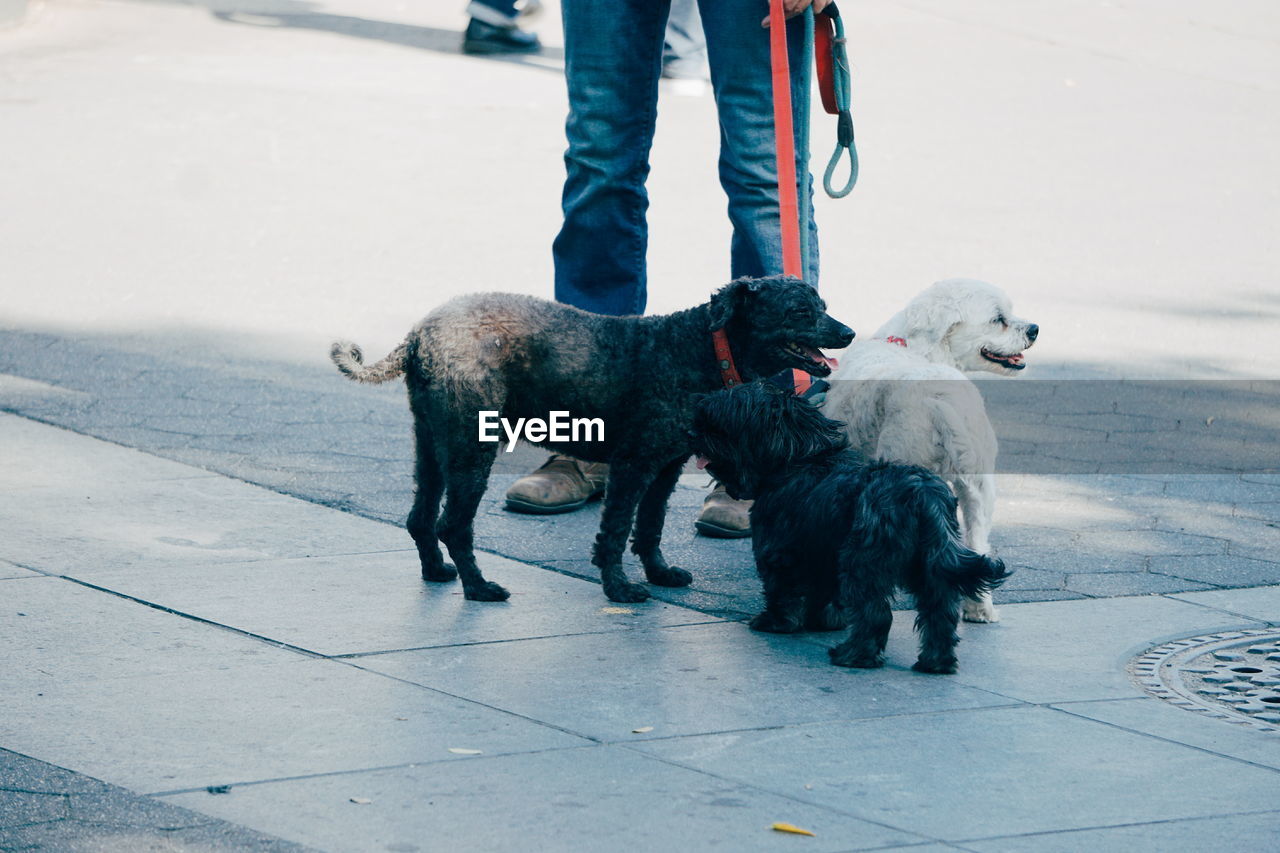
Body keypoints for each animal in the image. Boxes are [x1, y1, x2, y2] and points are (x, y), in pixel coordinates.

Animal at [332, 275, 849, 601]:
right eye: (800, 311)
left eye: (823, 307)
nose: (848, 331)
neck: (700, 346)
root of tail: (419, 335)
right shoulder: (633, 464)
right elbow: (617, 530)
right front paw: (618, 588)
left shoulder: (666, 468)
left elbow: (650, 526)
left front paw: (659, 573)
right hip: (471, 445)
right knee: (452, 525)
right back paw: (478, 588)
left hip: (434, 441)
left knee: (420, 518)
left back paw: (438, 571)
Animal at [691, 381, 1008, 666]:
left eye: (717, 423)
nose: (694, 429)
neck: (797, 460)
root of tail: (923, 495)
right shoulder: (823, 554)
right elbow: (823, 592)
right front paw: (825, 621)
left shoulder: (777, 550)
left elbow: (781, 589)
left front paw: (776, 622)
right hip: (930, 564)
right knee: (939, 612)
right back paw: (936, 662)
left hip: (864, 560)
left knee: (876, 613)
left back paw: (854, 656)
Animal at [819, 281, 1039, 622]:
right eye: (998, 319)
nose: (1034, 329)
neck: (912, 348)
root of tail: (940, 402)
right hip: (979, 487)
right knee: (977, 542)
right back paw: (978, 607)